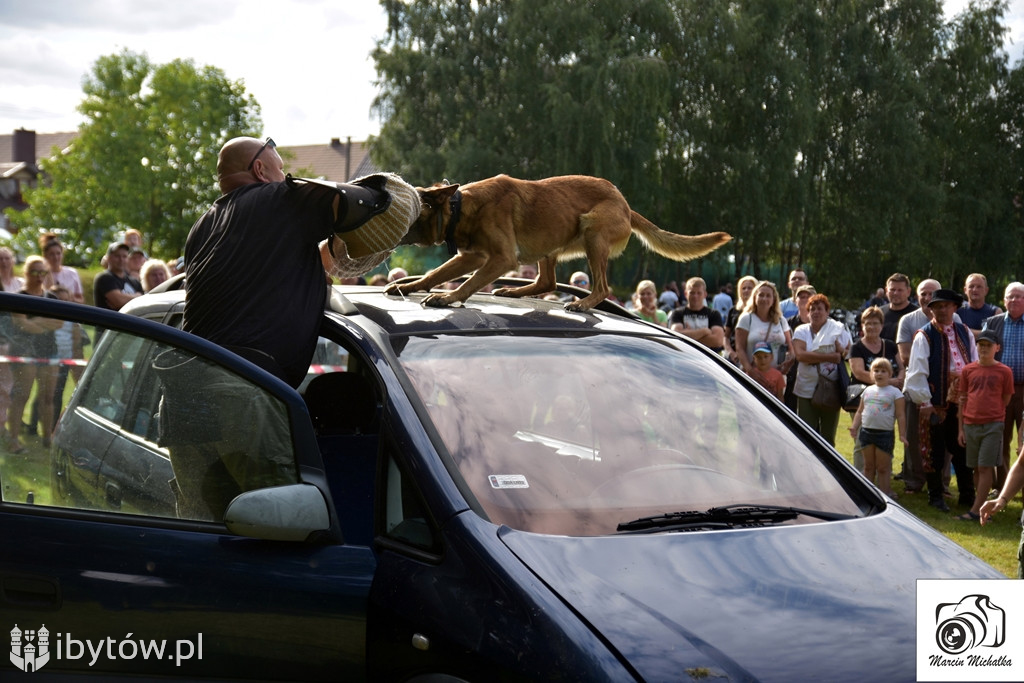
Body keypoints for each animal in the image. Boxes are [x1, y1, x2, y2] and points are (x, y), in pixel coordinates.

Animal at [387, 175, 733, 311]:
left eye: (413, 208)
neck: (462, 206)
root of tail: (626, 206)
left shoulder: (498, 259)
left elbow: (468, 283)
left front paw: (447, 298)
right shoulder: (472, 256)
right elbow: (435, 274)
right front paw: (408, 285)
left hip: (593, 233)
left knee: (602, 287)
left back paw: (582, 303)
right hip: (548, 243)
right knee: (547, 281)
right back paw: (514, 291)